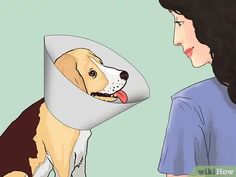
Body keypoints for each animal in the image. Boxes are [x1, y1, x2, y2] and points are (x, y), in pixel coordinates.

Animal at [0, 48, 129, 177]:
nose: (125, 74)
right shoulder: (63, 165)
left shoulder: (80, 162)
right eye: (92, 73)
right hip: (19, 173)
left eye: (101, 62)